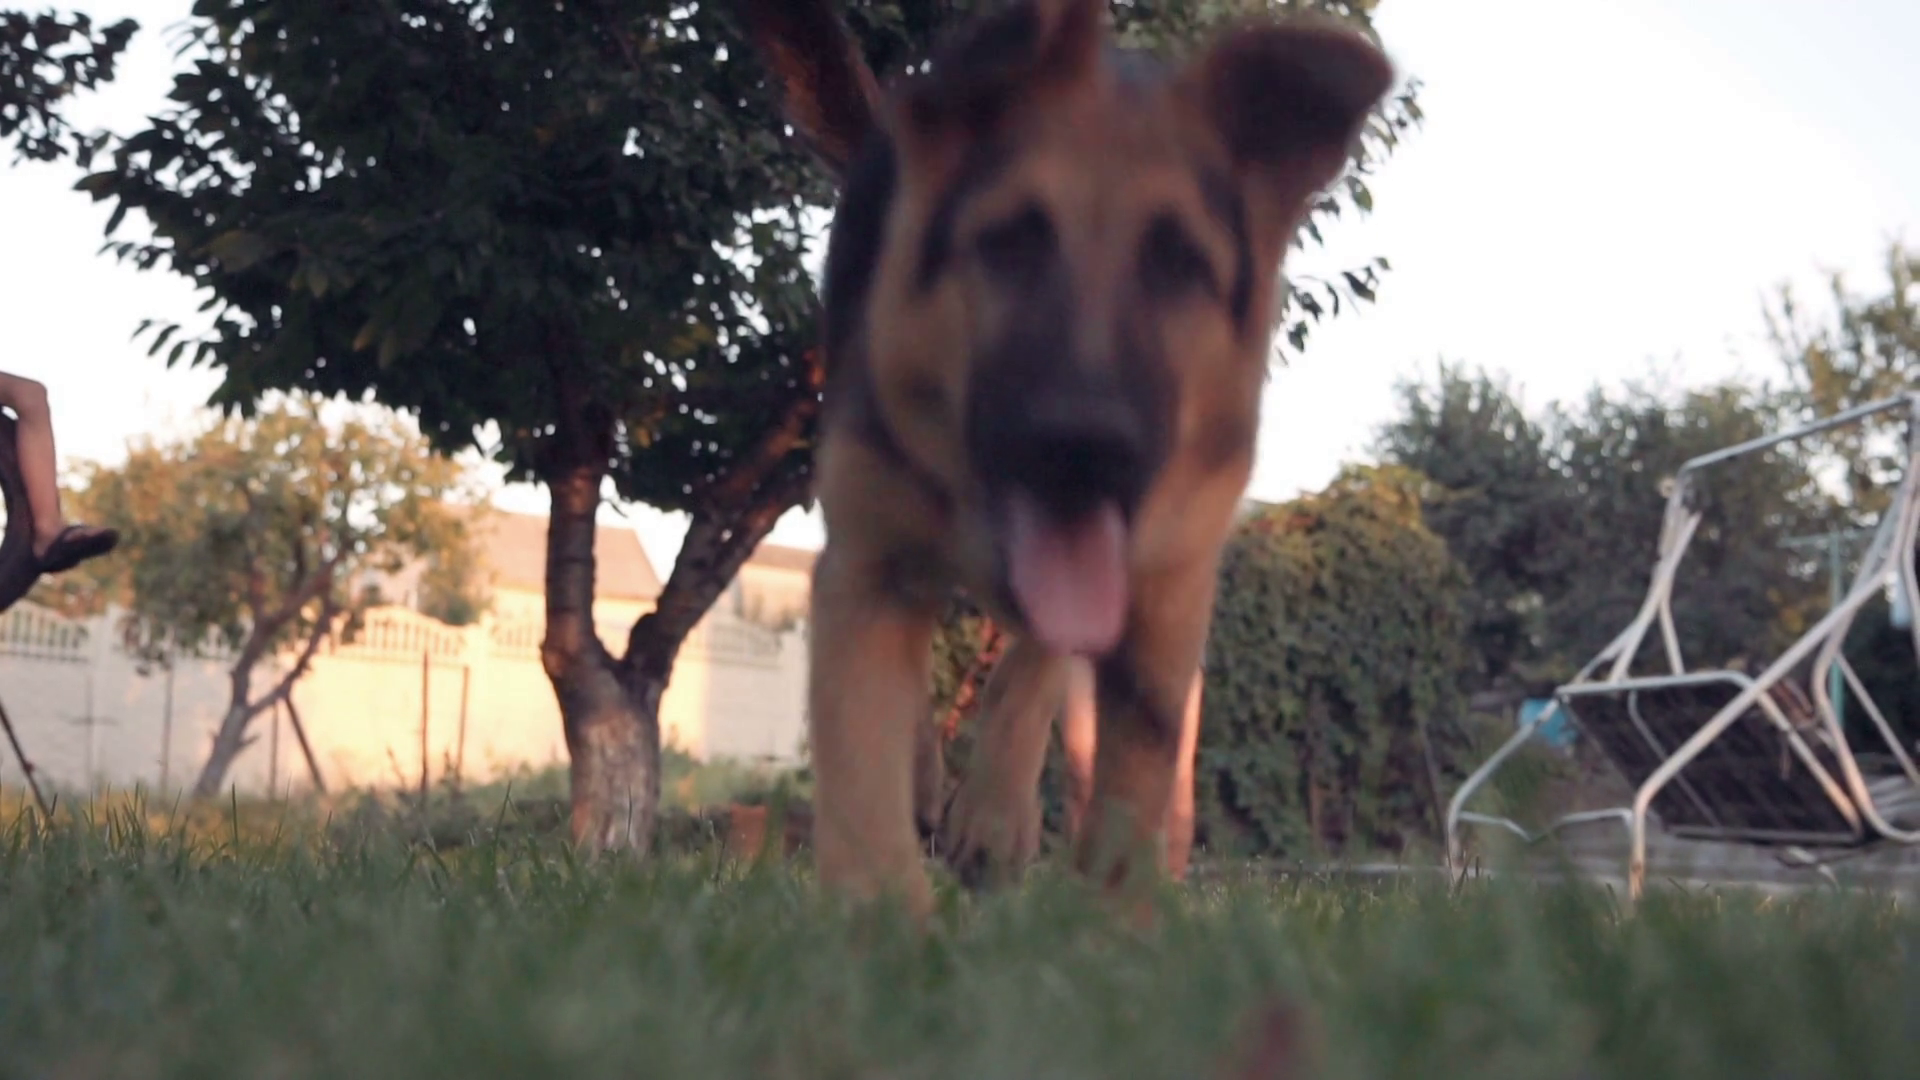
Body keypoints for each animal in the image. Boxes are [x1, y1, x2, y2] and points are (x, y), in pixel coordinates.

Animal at [736, 0, 1394, 918]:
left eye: (1181, 266)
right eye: (1008, 242)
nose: (1086, 448)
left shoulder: (1160, 597)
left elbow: (1115, 765)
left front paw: (1103, 919)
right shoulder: (869, 559)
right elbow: (865, 771)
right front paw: (884, 925)